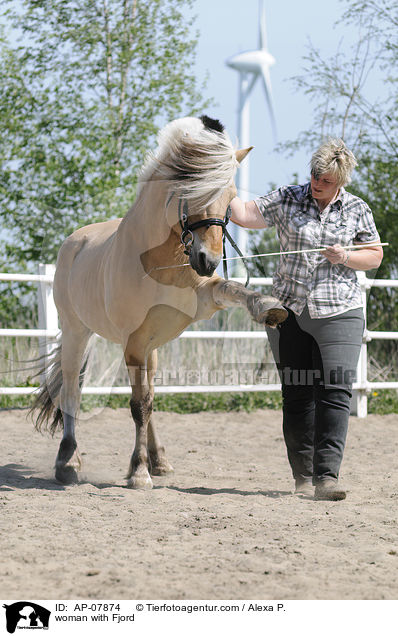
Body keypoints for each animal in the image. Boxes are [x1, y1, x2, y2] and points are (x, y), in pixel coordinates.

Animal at [31, 117, 286, 490]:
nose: (209, 260)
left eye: (231, 198)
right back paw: (68, 463)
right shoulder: (134, 343)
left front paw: (268, 305)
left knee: (148, 396)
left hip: (151, 347)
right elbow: (138, 406)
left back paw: (160, 460)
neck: (158, 261)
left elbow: (232, 288)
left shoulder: (200, 301)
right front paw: (138, 473)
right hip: (78, 333)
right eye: (190, 196)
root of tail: (73, 243)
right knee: (72, 394)